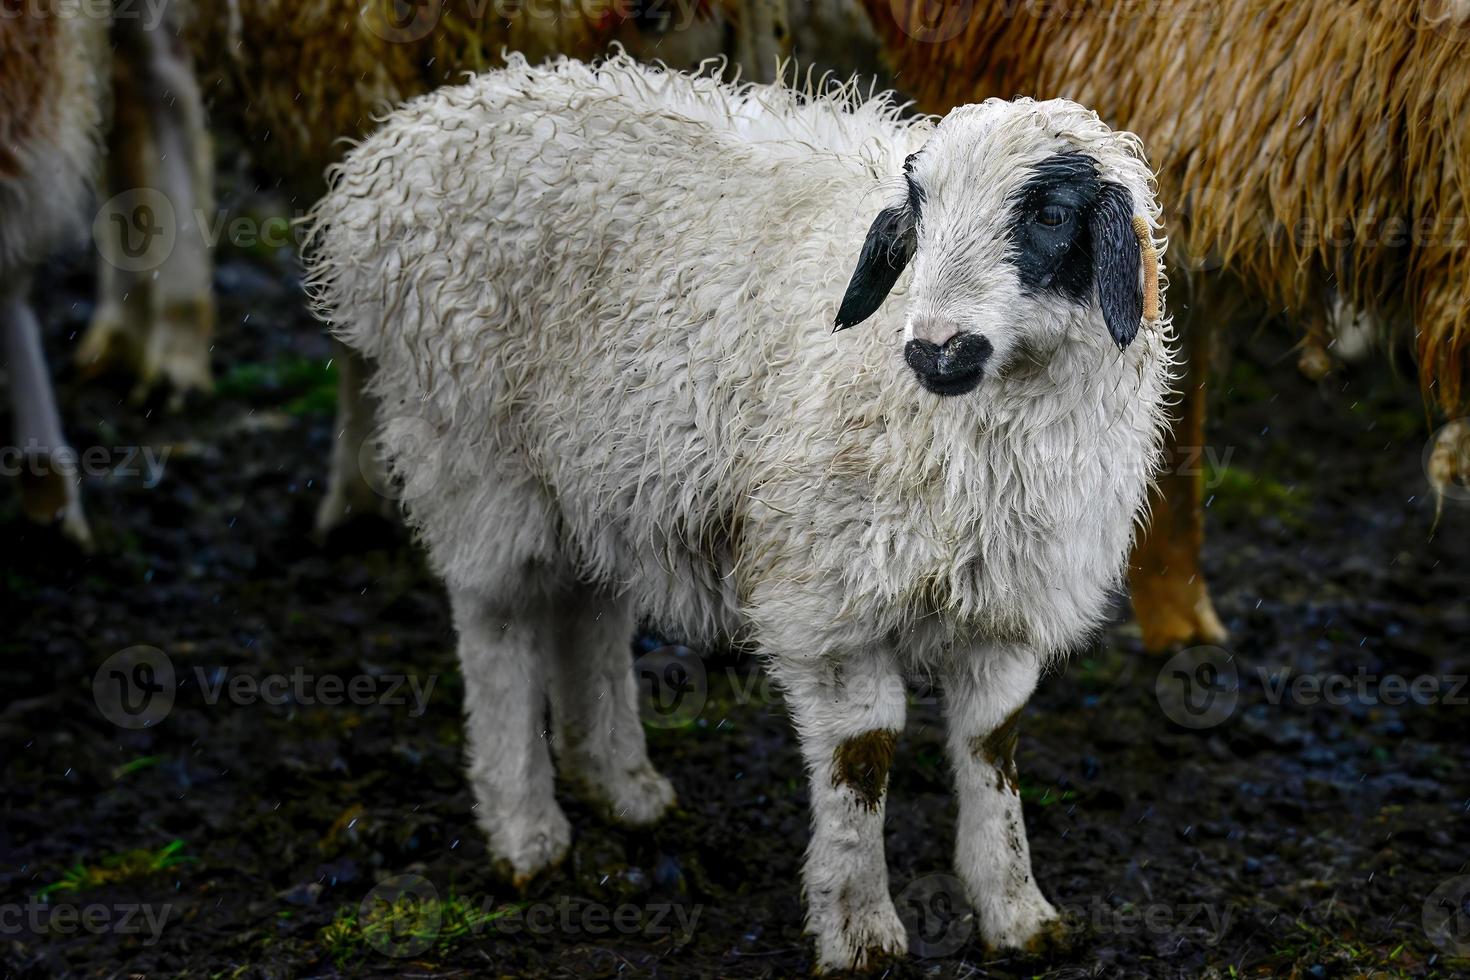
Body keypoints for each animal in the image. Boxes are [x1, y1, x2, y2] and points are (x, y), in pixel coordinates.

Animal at [304, 55, 1176, 975]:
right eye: (923, 211)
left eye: (1048, 215)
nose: (935, 350)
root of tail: (401, 144)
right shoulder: (830, 602)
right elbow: (863, 758)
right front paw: (859, 931)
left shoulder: (1005, 604)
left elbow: (993, 747)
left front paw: (1017, 915)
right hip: (472, 450)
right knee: (497, 623)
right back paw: (525, 831)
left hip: (596, 471)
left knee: (586, 609)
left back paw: (622, 785)